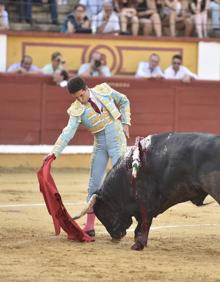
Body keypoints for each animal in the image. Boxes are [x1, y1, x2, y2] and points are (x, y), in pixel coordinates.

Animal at [74, 133, 220, 251]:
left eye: (103, 212)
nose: (115, 236)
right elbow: (142, 224)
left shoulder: (145, 202)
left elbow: (144, 223)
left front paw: (138, 245)